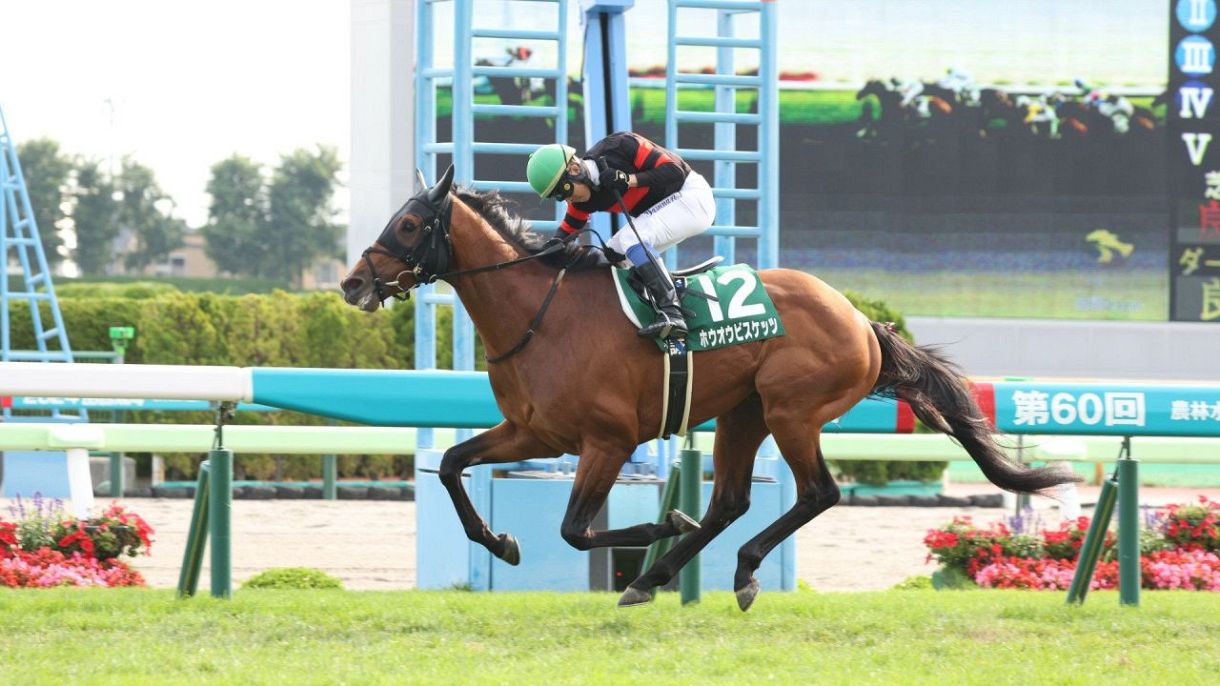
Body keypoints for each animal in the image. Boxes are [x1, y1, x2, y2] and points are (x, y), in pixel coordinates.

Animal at [340, 165, 1079, 610]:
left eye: (409, 224)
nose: (352, 283)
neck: (539, 315)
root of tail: (860, 320)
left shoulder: (607, 440)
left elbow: (578, 530)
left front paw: (662, 522)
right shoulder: (533, 432)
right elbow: (452, 465)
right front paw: (500, 543)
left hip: (791, 409)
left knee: (818, 492)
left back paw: (724, 569)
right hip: (742, 414)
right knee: (729, 501)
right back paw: (662, 577)